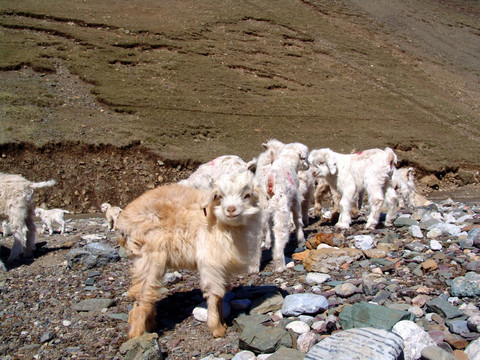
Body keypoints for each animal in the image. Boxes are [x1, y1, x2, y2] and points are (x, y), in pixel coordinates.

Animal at [116, 170, 264, 338]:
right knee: (143, 294)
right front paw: (217, 328)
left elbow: (221, 293)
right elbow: (214, 293)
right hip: (149, 257)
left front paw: (222, 323)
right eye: (220, 196)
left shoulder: (222, 265)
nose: (231, 209)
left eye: (247, 195)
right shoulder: (210, 262)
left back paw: (150, 324)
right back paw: (137, 334)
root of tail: (123, 224)